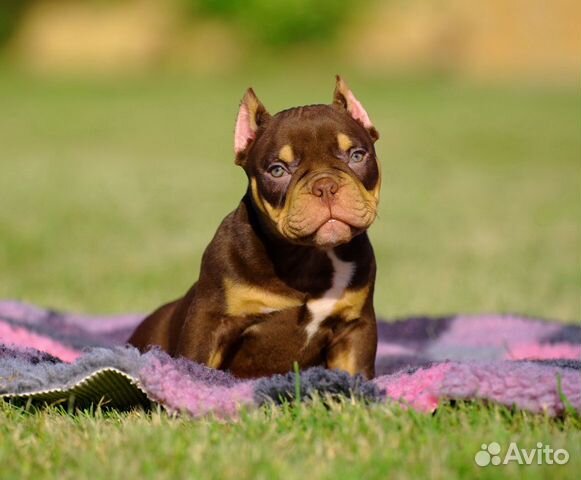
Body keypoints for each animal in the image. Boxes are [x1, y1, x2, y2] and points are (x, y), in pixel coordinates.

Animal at [128, 77, 380, 378]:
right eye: (277, 170)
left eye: (357, 155)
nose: (325, 186)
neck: (308, 257)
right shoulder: (209, 321)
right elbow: (196, 369)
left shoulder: (354, 328)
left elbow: (354, 374)